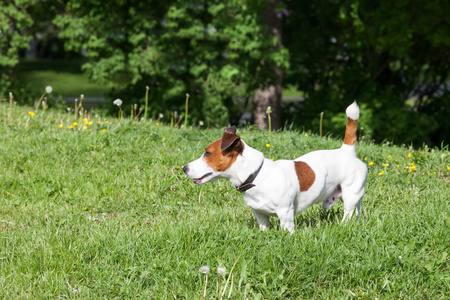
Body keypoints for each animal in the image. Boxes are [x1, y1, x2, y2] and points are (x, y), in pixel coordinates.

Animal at [185, 102, 368, 233]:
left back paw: (344, 226)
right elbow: (263, 227)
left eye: (207, 153)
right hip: (351, 194)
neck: (256, 175)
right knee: (357, 208)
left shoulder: (285, 213)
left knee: (348, 212)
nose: (184, 168)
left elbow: (287, 230)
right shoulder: (259, 213)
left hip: (350, 192)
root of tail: (346, 150)